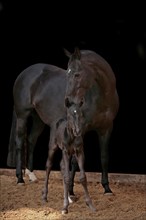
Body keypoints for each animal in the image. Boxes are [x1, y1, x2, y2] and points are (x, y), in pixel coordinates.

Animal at [64, 47, 119, 194]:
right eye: (67, 73)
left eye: (77, 75)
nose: (68, 100)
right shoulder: (80, 130)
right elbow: (75, 161)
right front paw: (70, 190)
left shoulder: (106, 129)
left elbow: (104, 157)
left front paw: (107, 188)